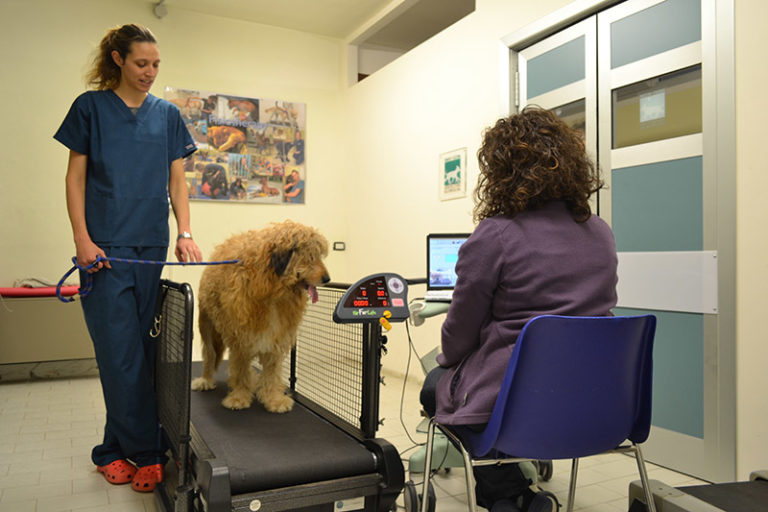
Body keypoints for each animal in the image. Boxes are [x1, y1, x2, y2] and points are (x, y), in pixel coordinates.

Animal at [192, 220, 330, 412]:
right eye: (310, 255)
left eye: (318, 255)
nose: (327, 279)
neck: (273, 289)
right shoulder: (241, 337)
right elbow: (240, 369)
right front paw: (240, 397)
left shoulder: (277, 336)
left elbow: (271, 371)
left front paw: (273, 399)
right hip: (207, 326)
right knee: (210, 354)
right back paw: (206, 379)